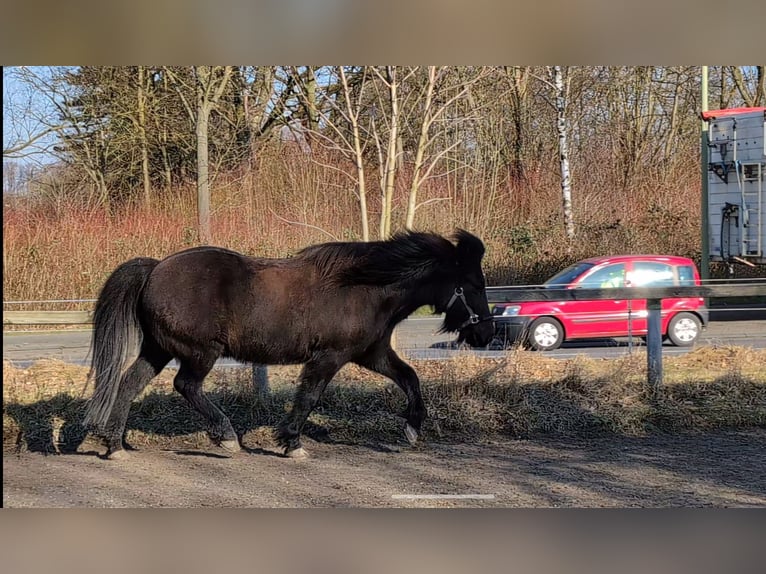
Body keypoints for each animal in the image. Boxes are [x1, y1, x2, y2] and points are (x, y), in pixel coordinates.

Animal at [82, 230, 492, 460]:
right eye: (473, 284)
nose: (486, 335)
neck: (366, 288)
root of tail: (154, 268)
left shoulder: (371, 354)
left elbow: (410, 378)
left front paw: (411, 429)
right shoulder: (330, 357)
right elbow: (309, 397)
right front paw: (292, 444)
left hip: (159, 349)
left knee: (128, 384)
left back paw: (115, 446)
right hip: (199, 352)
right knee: (186, 386)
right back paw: (226, 438)